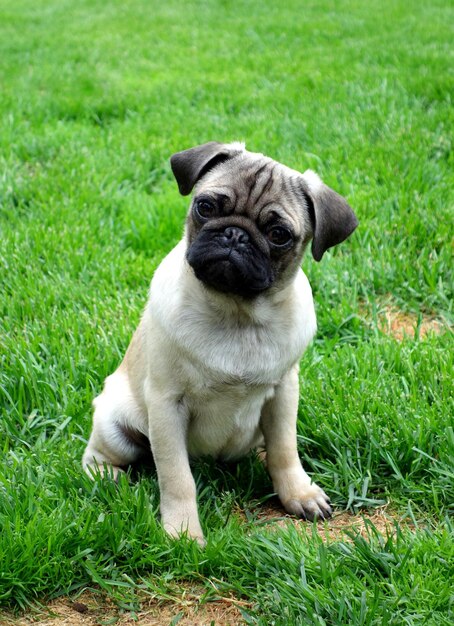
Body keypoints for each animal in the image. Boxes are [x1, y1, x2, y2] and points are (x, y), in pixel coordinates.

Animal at [81, 140, 358, 540]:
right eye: (206, 207)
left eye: (279, 235)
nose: (234, 234)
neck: (237, 314)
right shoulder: (166, 404)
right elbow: (176, 476)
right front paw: (182, 532)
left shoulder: (284, 393)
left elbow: (285, 450)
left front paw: (298, 493)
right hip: (115, 423)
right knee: (97, 455)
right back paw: (107, 476)